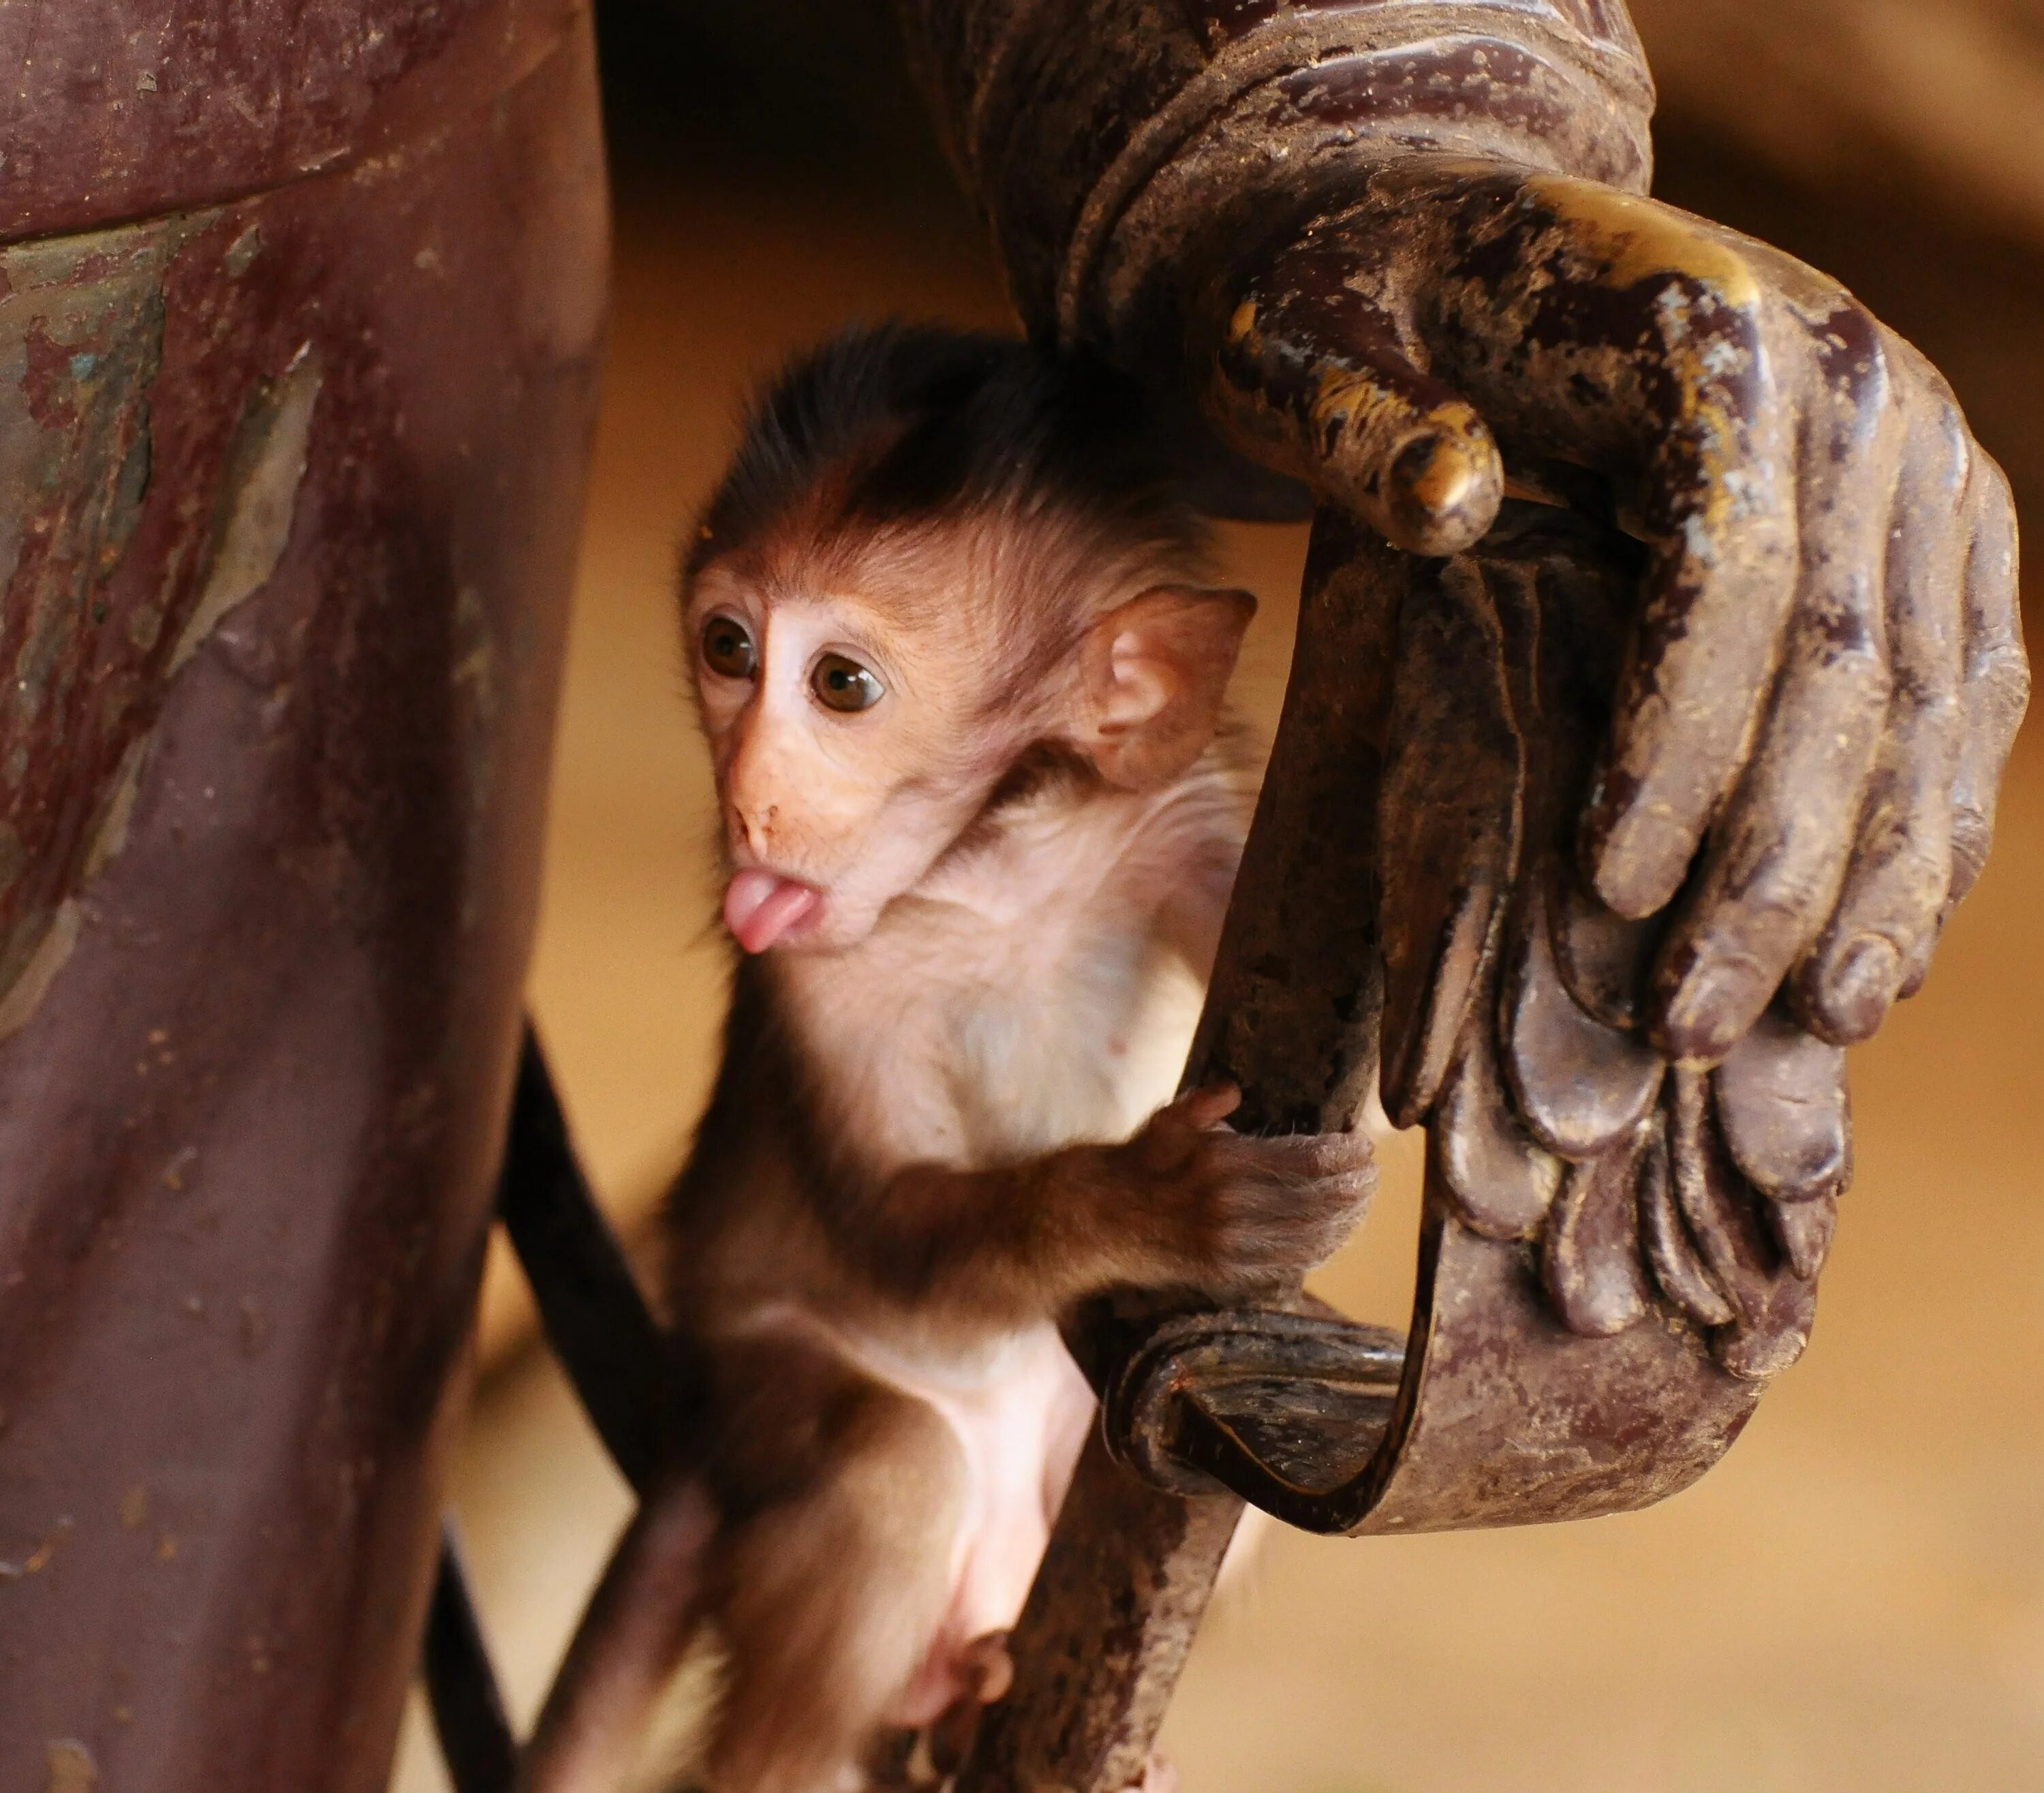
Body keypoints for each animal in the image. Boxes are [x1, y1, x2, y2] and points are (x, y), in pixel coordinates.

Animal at [519, 325, 1365, 1791]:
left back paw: (981, 1705)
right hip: (755, 1407)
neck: (991, 873)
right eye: (728, 646)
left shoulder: (1177, 821)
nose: (748, 794)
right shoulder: (821, 975)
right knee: (892, 1472)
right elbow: (898, 1230)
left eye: (841, 684)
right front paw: (1158, 1203)